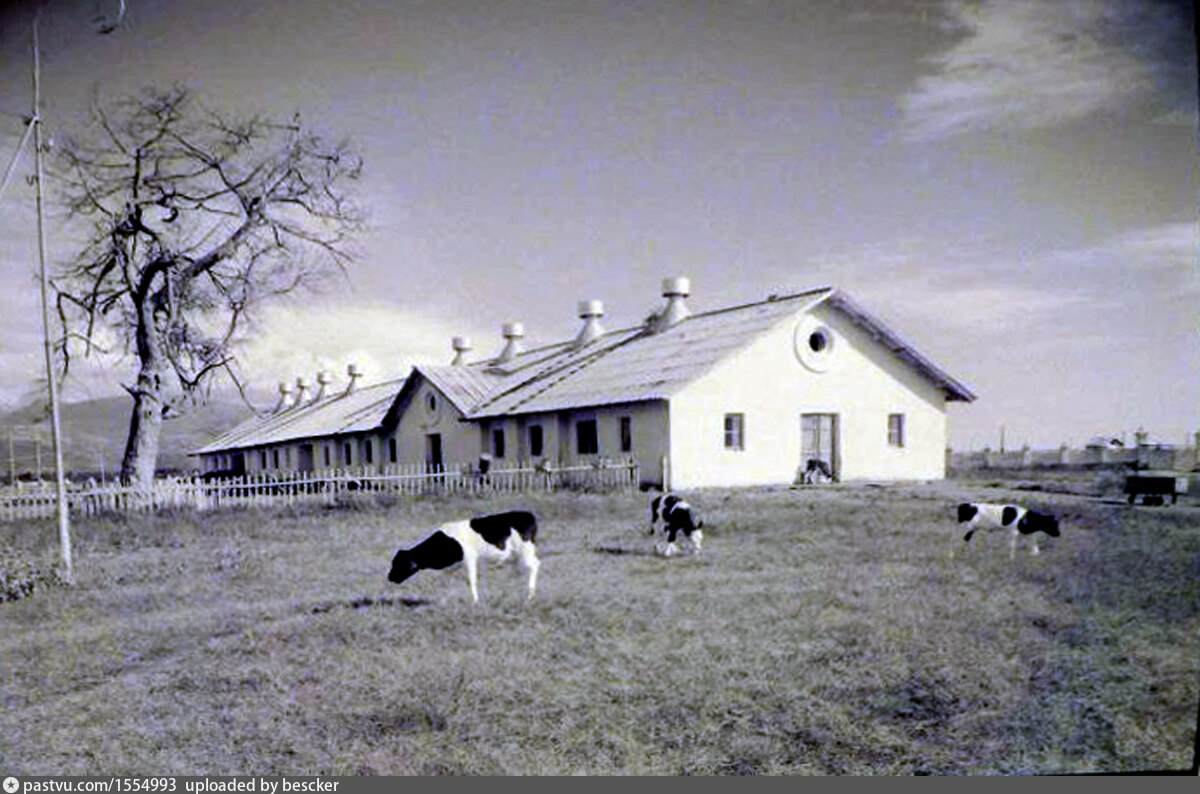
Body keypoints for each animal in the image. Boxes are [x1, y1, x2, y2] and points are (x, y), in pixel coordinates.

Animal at [386, 510, 542, 604]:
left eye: (399, 564)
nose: (389, 577)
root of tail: (528, 514)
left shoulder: (470, 558)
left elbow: (471, 580)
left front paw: (475, 601)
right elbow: (447, 581)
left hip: (526, 548)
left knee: (533, 565)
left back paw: (530, 596)